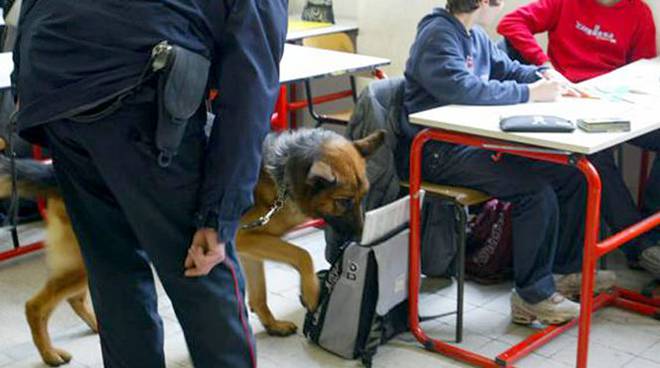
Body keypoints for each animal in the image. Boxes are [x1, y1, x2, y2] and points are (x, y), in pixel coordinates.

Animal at [0, 129, 386, 366]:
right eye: (343, 202)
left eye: (363, 196)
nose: (360, 235)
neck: (281, 174)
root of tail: (54, 172)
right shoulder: (246, 240)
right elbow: (301, 255)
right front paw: (311, 293)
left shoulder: (248, 251)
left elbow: (258, 295)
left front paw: (272, 324)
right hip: (89, 259)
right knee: (37, 306)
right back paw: (49, 353)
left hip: (87, 260)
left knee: (76, 297)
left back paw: (97, 326)